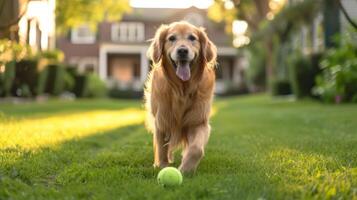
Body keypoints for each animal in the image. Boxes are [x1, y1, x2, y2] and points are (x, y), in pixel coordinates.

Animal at [143, 20, 216, 173]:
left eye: (192, 38)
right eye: (171, 38)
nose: (182, 51)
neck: (182, 89)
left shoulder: (198, 121)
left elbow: (196, 149)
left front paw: (186, 169)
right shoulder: (162, 120)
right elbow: (161, 148)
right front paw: (162, 166)